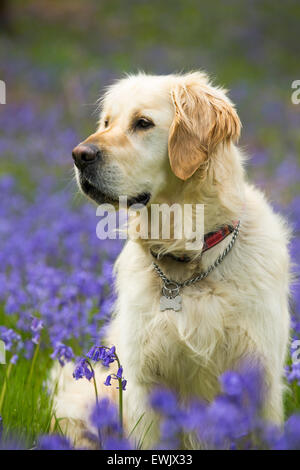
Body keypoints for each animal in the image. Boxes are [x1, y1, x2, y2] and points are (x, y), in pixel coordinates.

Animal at [52, 72, 290, 448]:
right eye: (106, 122)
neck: (190, 262)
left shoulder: (259, 375)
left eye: (143, 123)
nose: (79, 155)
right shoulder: (145, 381)